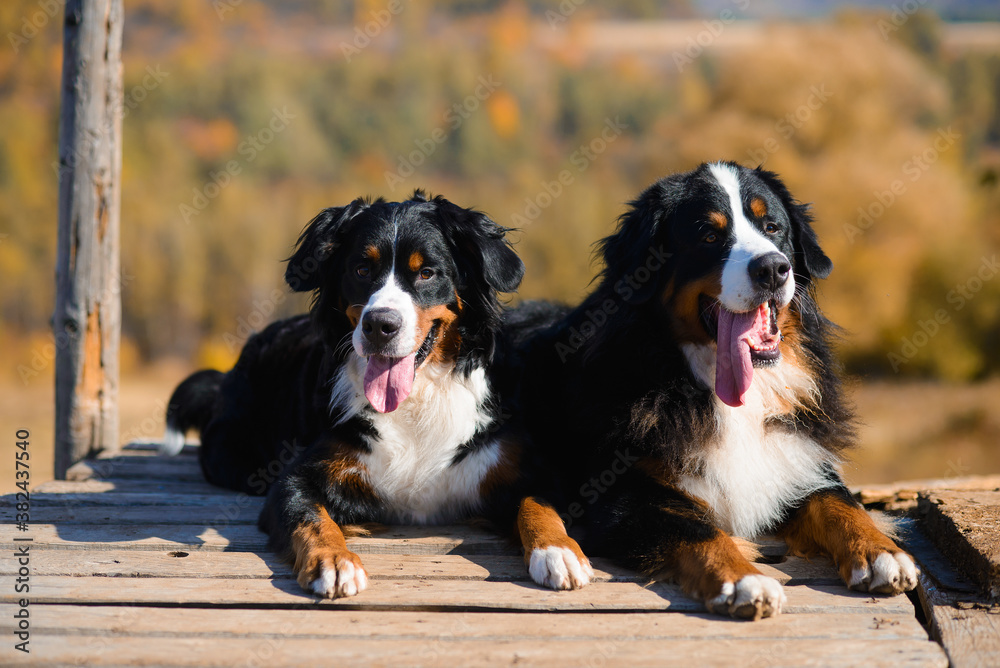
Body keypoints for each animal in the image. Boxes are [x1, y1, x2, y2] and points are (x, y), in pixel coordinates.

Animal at [159, 192, 588, 600]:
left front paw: (559, 551)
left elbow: (538, 506)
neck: (416, 401)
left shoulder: (525, 470)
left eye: (427, 273)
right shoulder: (295, 479)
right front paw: (333, 561)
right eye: (361, 269)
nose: (380, 324)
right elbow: (312, 519)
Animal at [512, 163, 916, 620]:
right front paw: (743, 579)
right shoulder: (625, 496)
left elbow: (840, 503)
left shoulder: (799, 457)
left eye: (772, 227)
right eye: (708, 235)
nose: (773, 268)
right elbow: (700, 531)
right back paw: (557, 553)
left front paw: (882, 552)